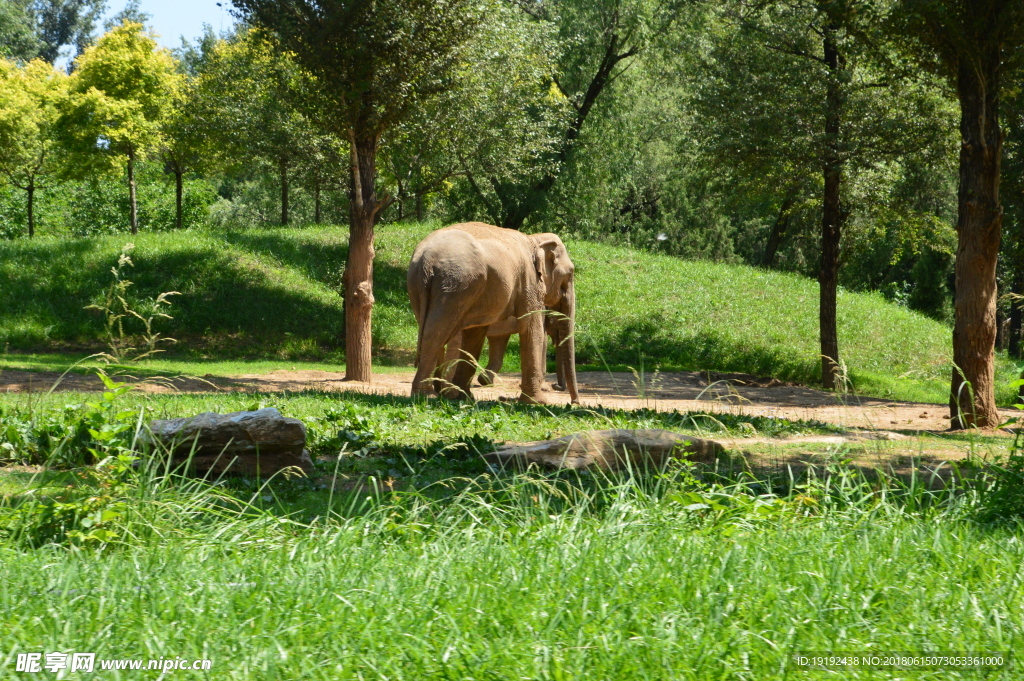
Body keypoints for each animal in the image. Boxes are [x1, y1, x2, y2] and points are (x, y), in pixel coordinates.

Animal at [409, 223, 585, 403]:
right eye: (570, 273)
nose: (574, 402)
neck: (534, 239)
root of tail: (426, 259)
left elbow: (476, 334)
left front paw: (465, 397)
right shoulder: (529, 282)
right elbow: (532, 330)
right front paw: (538, 401)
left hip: (423, 286)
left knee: (433, 332)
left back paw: (442, 392)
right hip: (455, 285)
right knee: (437, 334)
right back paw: (427, 395)